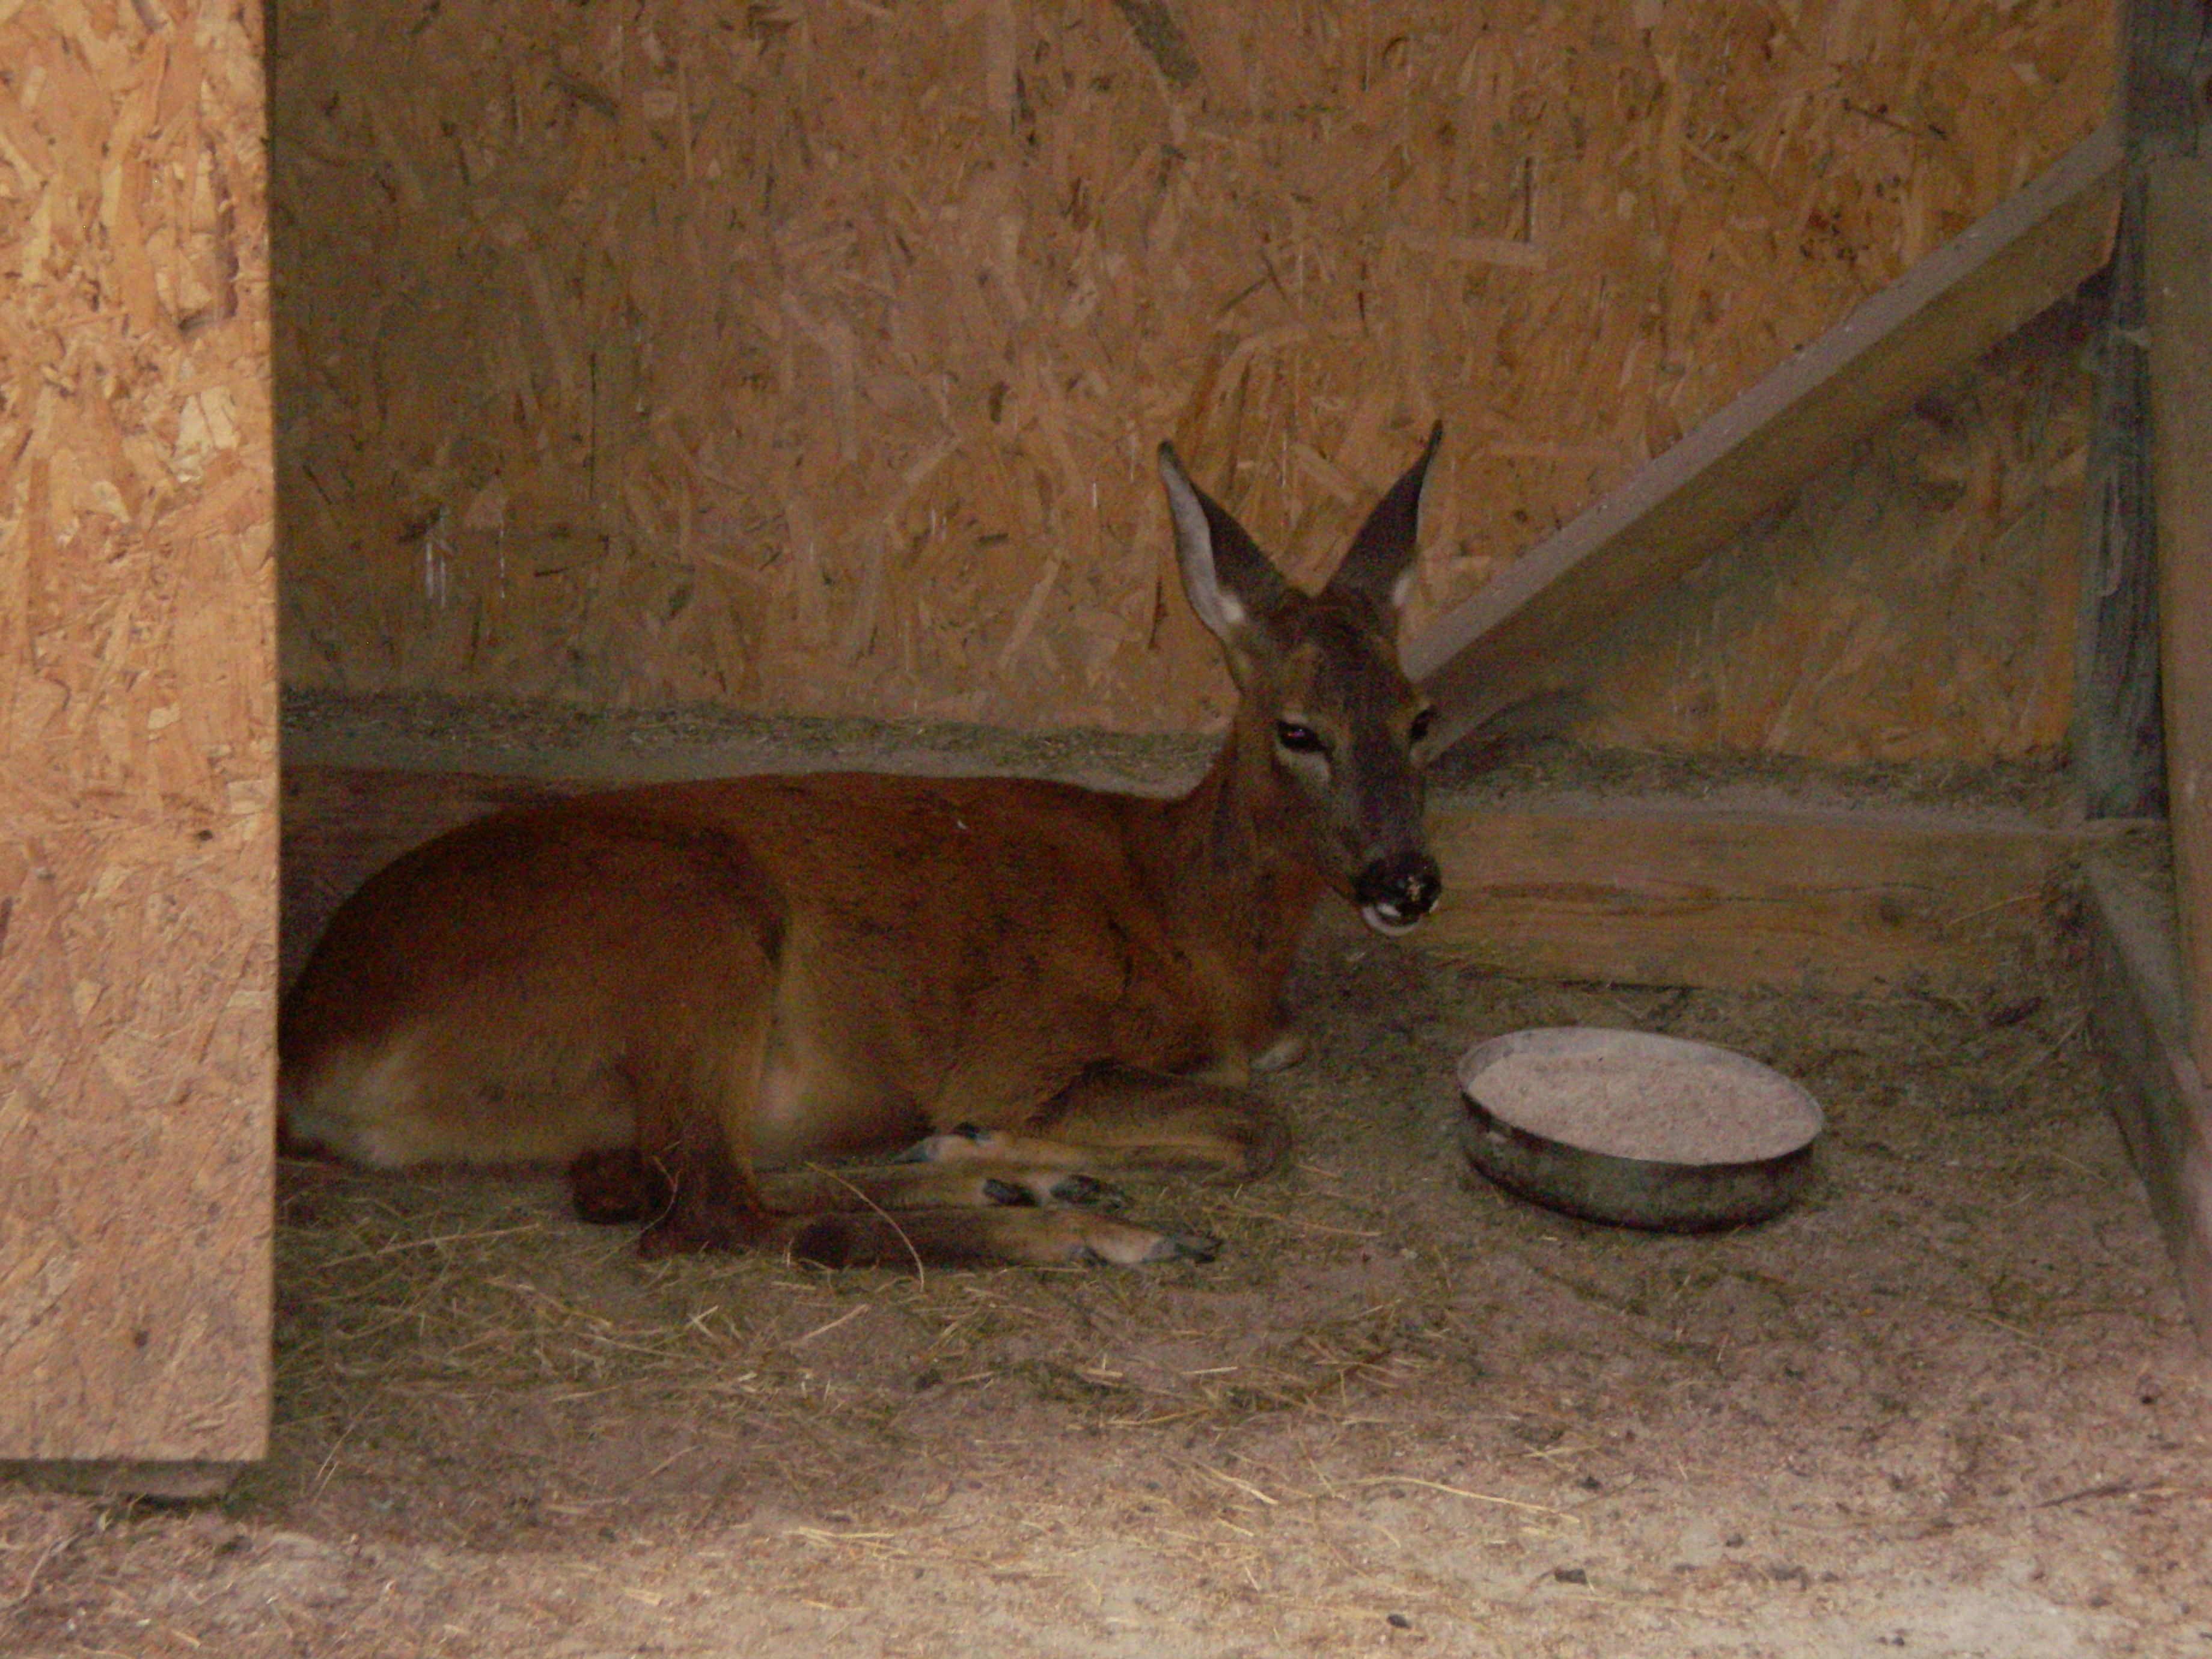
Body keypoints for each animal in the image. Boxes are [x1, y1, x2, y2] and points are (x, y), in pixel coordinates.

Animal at [276, 431, 1451, 1274]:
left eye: (1419, 717)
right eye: (1298, 730)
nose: (1407, 880)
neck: (1191, 926)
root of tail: (312, 1044)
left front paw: (992, 1157)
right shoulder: (1021, 1051)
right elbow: (1257, 1126)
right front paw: (988, 1147)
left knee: (652, 1188)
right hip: (693, 925)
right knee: (720, 1215)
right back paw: (1078, 1225)